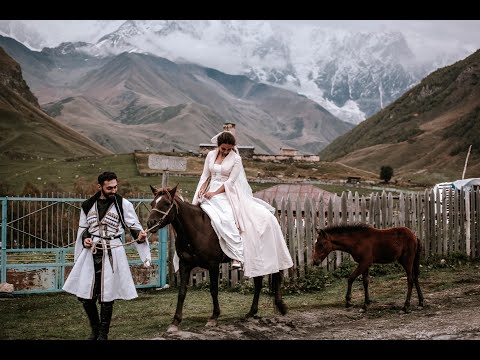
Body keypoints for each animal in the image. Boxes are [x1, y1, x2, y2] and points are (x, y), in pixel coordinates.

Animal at [146, 186, 288, 332]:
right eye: (152, 203)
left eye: (167, 203)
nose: (150, 223)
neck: (196, 230)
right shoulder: (184, 264)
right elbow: (181, 292)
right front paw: (175, 321)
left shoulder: (213, 265)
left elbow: (214, 290)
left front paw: (214, 317)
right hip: (255, 262)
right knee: (258, 283)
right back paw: (251, 312)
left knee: (276, 277)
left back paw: (281, 307)